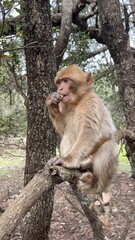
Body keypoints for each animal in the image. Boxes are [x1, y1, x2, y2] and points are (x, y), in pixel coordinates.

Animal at [46, 64, 118, 194]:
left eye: (66, 81)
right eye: (59, 82)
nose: (60, 89)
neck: (78, 102)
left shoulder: (91, 101)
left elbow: (89, 131)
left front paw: (67, 160)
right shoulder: (64, 104)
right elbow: (64, 129)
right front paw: (51, 104)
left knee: (110, 146)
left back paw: (95, 183)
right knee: (68, 133)